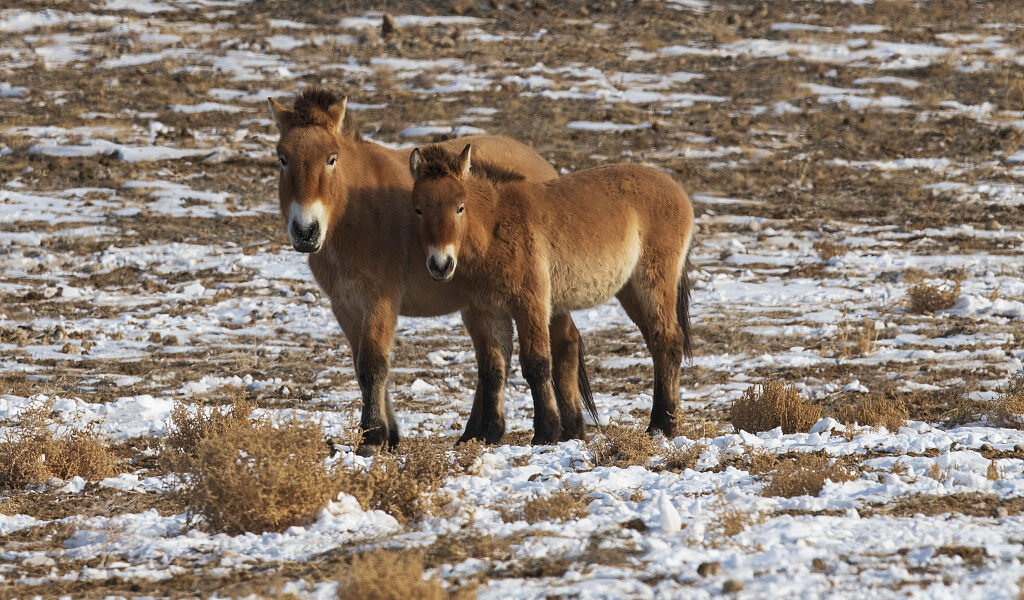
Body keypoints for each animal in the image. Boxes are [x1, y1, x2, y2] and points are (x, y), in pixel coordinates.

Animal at [269, 88, 597, 452]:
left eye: (331, 158)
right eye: (282, 158)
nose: (306, 231)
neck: (355, 211)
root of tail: (544, 168)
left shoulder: (380, 301)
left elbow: (373, 366)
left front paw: (373, 437)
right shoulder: (345, 306)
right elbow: (362, 368)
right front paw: (388, 435)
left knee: (563, 344)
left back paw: (569, 428)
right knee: (499, 358)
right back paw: (477, 432)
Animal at [409, 143, 695, 441]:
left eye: (460, 208)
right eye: (418, 210)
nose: (440, 264)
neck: (494, 229)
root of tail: (675, 189)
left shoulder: (530, 304)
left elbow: (536, 364)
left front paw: (546, 432)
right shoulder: (485, 314)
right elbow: (492, 369)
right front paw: (490, 434)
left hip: (653, 283)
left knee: (668, 340)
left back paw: (664, 424)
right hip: (630, 290)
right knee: (658, 343)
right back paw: (663, 421)